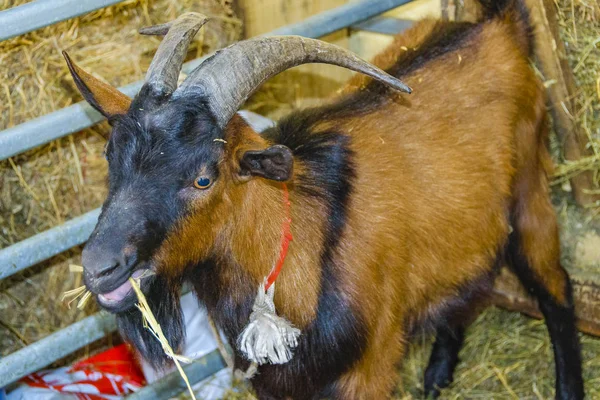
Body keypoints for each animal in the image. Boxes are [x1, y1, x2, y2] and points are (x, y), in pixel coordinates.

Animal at [64, 1, 580, 398]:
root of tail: (497, 27)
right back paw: (436, 375)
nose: (99, 267)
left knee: (556, 288)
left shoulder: (370, 369)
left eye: (204, 179)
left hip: (530, 190)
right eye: (112, 155)